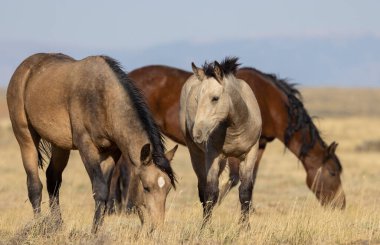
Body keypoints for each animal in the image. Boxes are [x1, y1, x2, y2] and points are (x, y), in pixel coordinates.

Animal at [7, 52, 177, 233]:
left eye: (167, 189)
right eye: (146, 187)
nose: (157, 227)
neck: (103, 98)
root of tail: (24, 67)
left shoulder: (111, 152)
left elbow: (106, 191)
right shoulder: (86, 147)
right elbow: (100, 189)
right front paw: (94, 232)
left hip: (60, 146)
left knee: (53, 180)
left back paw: (57, 225)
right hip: (25, 137)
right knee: (34, 186)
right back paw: (38, 225)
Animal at [178, 57, 262, 226]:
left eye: (215, 98)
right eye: (197, 99)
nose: (198, 133)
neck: (236, 127)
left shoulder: (250, 154)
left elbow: (245, 192)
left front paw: (244, 227)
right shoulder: (212, 155)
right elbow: (210, 193)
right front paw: (205, 227)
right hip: (197, 155)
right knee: (202, 189)